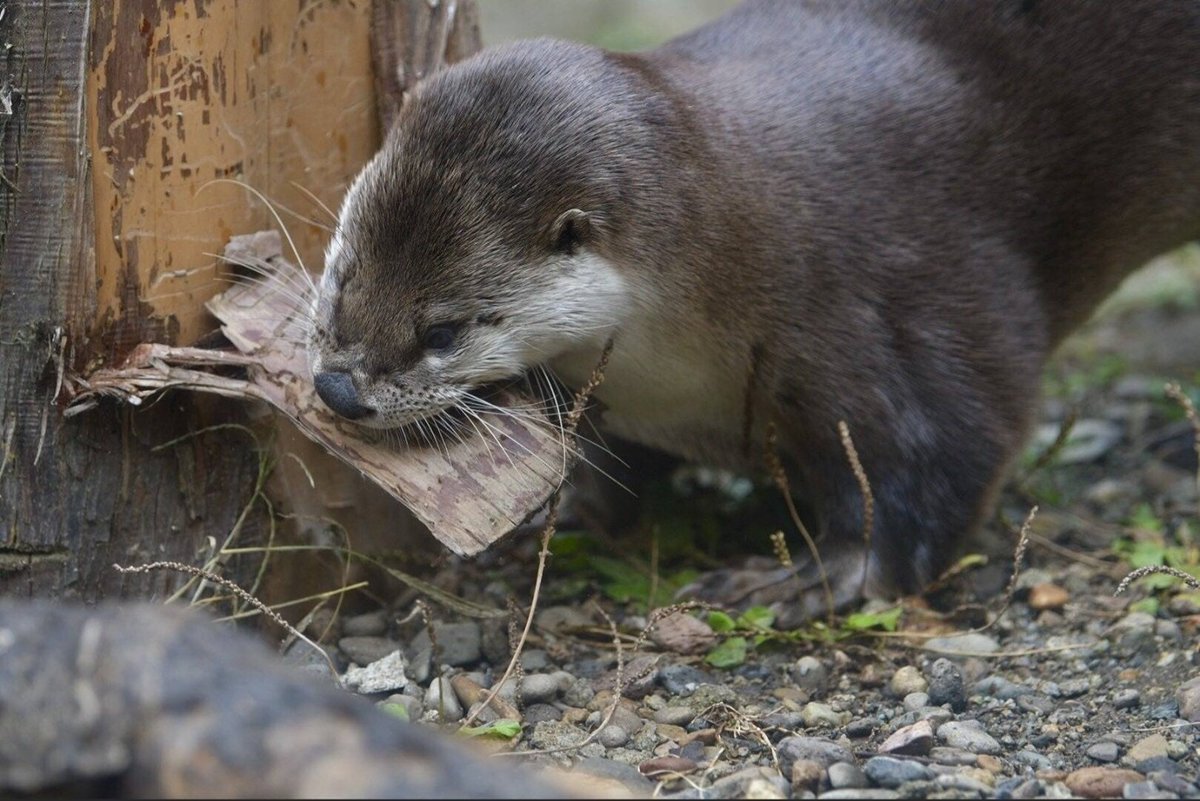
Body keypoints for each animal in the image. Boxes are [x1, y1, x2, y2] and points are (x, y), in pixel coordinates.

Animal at [308, 0, 1200, 622]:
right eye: (345, 273)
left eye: (443, 329)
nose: (340, 389)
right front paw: (550, 520)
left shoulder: (897, 309)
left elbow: (946, 457)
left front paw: (814, 576)